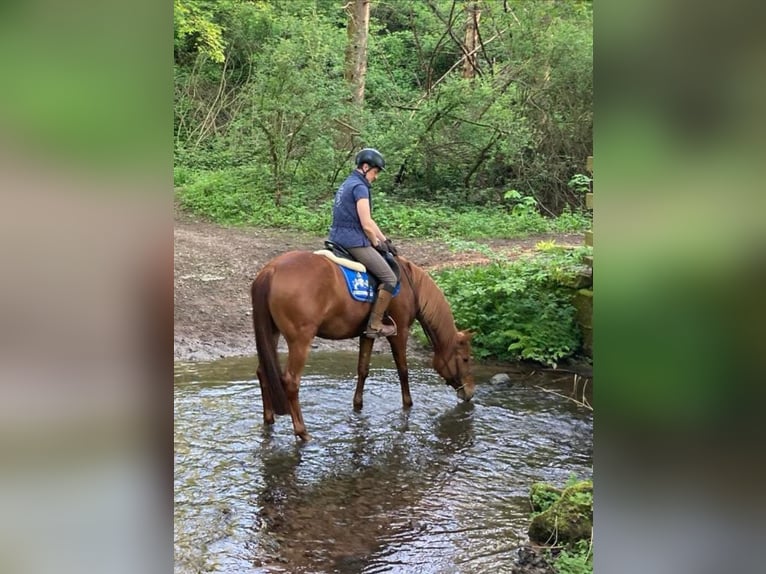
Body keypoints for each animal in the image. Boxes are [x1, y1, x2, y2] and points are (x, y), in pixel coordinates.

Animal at [252, 250, 476, 444]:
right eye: (465, 359)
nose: (470, 393)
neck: (410, 285)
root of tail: (271, 270)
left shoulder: (367, 334)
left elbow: (363, 369)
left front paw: (358, 406)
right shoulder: (400, 332)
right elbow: (403, 370)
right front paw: (408, 405)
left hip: (272, 332)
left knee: (263, 372)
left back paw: (269, 419)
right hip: (300, 340)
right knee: (291, 381)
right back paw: (302, 432)